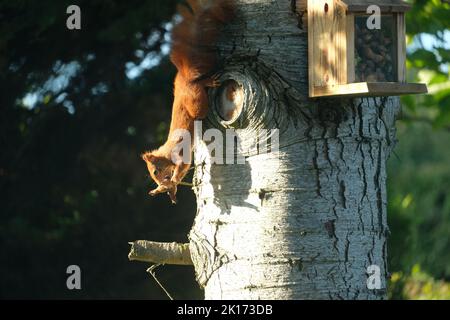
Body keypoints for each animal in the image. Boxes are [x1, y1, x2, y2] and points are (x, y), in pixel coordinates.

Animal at [142, 0, 234, 204]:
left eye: (155, 171)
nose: (160, 181)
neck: (166, 151)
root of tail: (184, 81)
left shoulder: (179, 152)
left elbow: (183, 165)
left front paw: (173, 181)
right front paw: (168, 190)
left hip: (196, 102)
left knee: (199, 97)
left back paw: (206, 82)